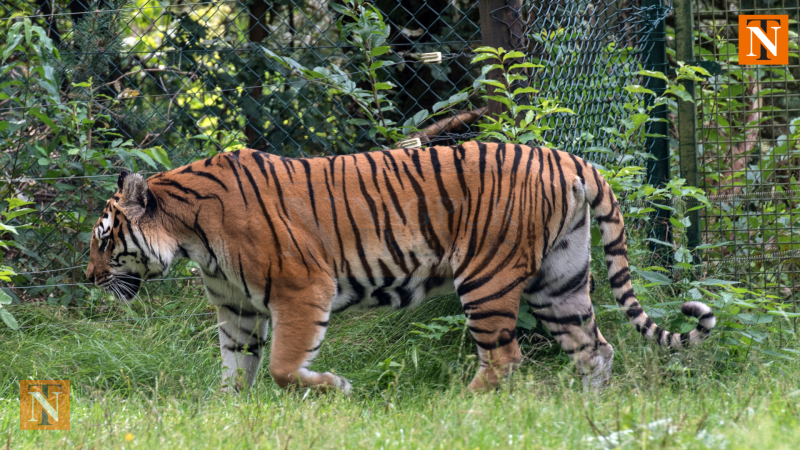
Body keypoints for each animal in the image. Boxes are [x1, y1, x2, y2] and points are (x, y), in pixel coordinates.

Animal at [84, 142, 716, 392]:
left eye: (104, 240)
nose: (88, 279)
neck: (190, 235)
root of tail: (569, 157)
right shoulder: (237, 307)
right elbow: (234, 371)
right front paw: (228, 415)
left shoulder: (302, 288)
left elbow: (284, 368)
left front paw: (336, 387)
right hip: (560, 280)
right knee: (595, 349)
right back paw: (589, 408)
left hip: (486, 277)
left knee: (504, 358)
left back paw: (461, 407)